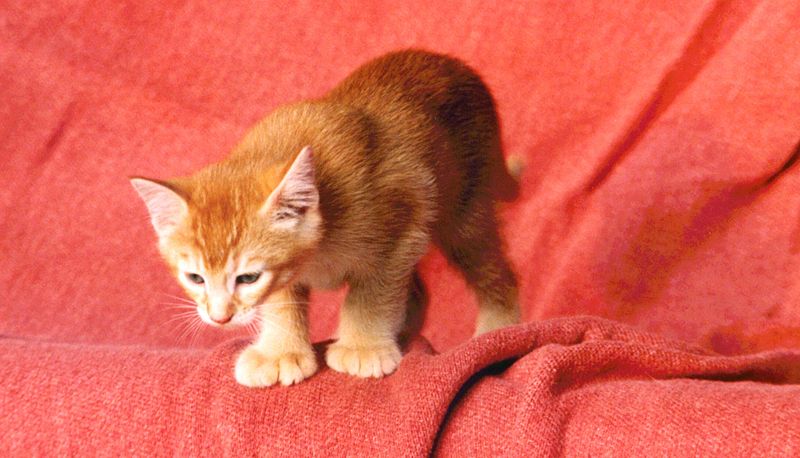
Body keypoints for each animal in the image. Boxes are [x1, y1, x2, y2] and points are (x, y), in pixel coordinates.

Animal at [130, 50, 520, 386]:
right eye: (195, 278)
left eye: (247, 277)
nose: (219, 318)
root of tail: (459, 67)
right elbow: (283, 299)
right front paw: (280, 353)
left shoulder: (402, 228)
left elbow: (371, 293)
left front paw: (363, 347)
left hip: (465, 212)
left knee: (493, 268)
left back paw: (496, 331)